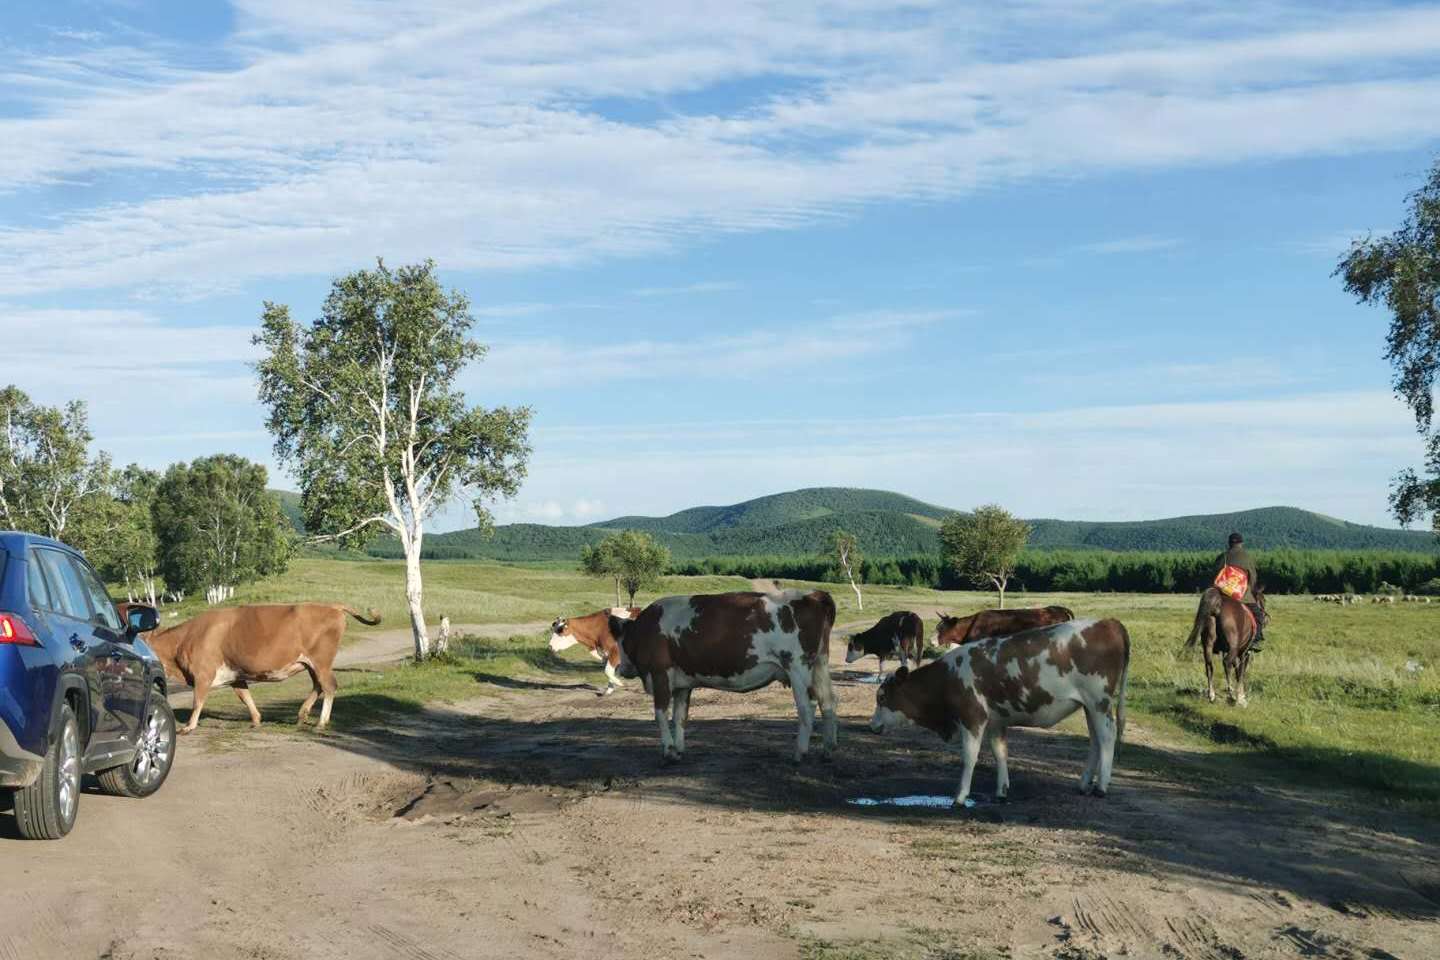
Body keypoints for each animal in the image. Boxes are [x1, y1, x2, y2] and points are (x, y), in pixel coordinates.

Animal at [137, 604, 377, 731]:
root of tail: (332, 606)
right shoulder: (235, 675)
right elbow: (245, 696)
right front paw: (256, 719)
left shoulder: (203, 674)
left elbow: (198, 701)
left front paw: (189, 726)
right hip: (311, 664)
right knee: (318, 686)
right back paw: (302, 715)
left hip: (321, 662)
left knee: (329, 687)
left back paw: (321, 721)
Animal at [604, 590, 840, 759]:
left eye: (618, 641)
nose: (621, 668)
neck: (644, 630)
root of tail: (812, 595)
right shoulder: (683, 684)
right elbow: (680, 716)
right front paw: (679, 750)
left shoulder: (660, 673)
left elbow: (660, 714)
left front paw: (669, 750)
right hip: (819, 664)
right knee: (828, 701)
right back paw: (828, 749)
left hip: (797, 667)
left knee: (807, 707)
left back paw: (800, 752)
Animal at [869, 618, 1128, 805]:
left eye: (882, 697)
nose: (871, 726)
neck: (948, 677)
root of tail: (1109, 622)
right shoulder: (996, 721)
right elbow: (1000, 753)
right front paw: (1001, 790)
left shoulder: (972, 718)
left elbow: (969, 757)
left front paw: (960, 796)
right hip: (1089, 706)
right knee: (1095, 741)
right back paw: (1084, 784)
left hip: (1099, 701)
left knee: (1107, 737)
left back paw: (1101, 787)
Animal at [1186, 581, 1267, 711]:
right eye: (1263, 600)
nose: (1265, 617)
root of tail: (1218, 605)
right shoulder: (1245, 653)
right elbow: (1241, 673)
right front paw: (1241, 698)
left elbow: (1237, 670)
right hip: (1233, 648)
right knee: (1226, 663)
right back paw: (1231, 694)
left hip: (1208, 644)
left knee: (1209, 666)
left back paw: (1211, 695)